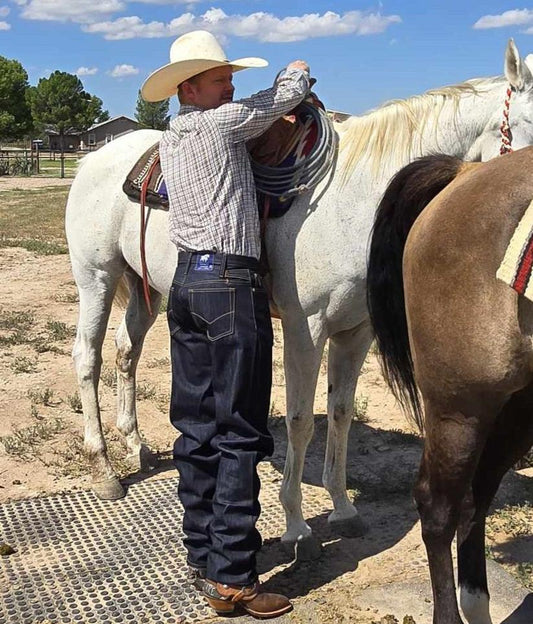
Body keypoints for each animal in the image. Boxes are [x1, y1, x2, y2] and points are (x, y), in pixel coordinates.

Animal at [65, 39, 533, 556]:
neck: (352, 199)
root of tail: (92, 160)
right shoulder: (305, 328)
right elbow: (300, 420)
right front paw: (297, 526)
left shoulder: (356, 331)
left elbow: (341, 413)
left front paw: (343, 508)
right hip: (96, 277)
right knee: (87, 358)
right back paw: (104, 468)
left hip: (145, 287)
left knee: (126, 352)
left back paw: (136, 446)